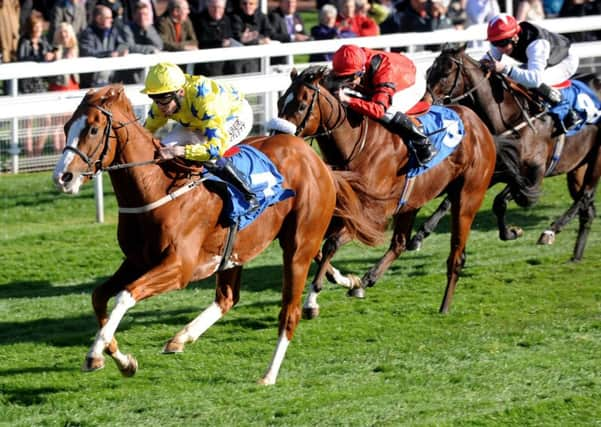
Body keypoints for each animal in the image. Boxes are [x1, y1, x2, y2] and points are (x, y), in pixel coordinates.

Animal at [50, 83, 380, 384]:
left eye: (93, 130)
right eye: (66, 127)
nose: (63, 177)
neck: (157, 188)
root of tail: (317, 162)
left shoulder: (179, 267)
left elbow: (124, 296)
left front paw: (95, 354)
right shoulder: (136, 261)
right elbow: (98, 296)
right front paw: (120, 359)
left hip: (298, 245)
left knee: (290, 311)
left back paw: (269, 374)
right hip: (236, 250)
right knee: (228, 298)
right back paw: (181, 338)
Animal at [276, 66, 496, 314]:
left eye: (301, 106)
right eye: (280, 102)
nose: (279, 137)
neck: (355, 146)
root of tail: (477, 122)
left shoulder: (370, 215)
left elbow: (331, 243)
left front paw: (312, 298)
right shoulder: (339, 213)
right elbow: (317, 249)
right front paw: (348, 281)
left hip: (467, 197)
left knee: (456, 255)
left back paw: (444, 306)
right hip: (412, 202)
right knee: (399, 244)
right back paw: (366, 280)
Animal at [418, 45, 600, 262]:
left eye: (445, 74)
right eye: (428, 72)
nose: (424, 105)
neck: (511, 119)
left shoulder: (533, 175)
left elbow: (505, 200)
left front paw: (512, 232)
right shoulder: (496, 170)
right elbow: (452, 200)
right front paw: (420, 234)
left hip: (597, 159)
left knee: (585, 196)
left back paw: (551, 231)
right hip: (578, 167)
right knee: (587, 207)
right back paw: (576, 255)